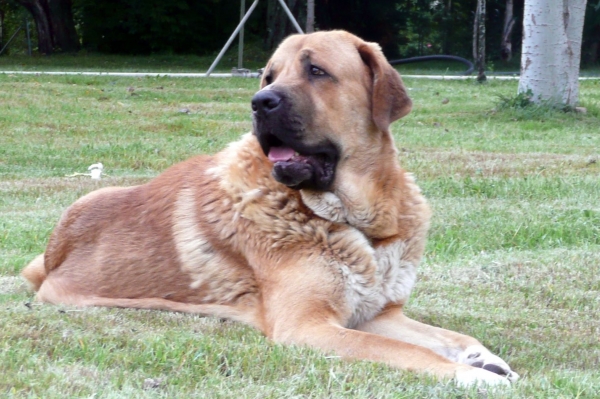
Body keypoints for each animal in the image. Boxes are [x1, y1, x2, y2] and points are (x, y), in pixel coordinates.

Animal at [22, 30, 516, 388]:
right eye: (268, 76)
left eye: (316, 70)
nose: (260, 102)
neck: (356, 219)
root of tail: (51, 262)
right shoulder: (309, 326)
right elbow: (410, 352)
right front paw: (471, 375)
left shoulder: (378, 314)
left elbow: (449, 336)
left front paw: (483, 358)